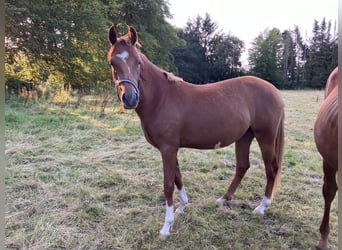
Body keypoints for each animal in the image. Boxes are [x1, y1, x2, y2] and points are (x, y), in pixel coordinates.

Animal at [108, 26, 284, 239]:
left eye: (138, 62)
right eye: (112, 62)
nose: (130, 98)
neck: (162, 98)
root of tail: (274, 90)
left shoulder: (168, 148)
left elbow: (168, 185)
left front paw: (166, 227)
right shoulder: (170, 148)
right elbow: (178, 178)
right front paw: (182, 207)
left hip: (265, 137)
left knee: (271, 169)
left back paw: (261, 207)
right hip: (244, 137)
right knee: (242, 166)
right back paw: (224, 199)